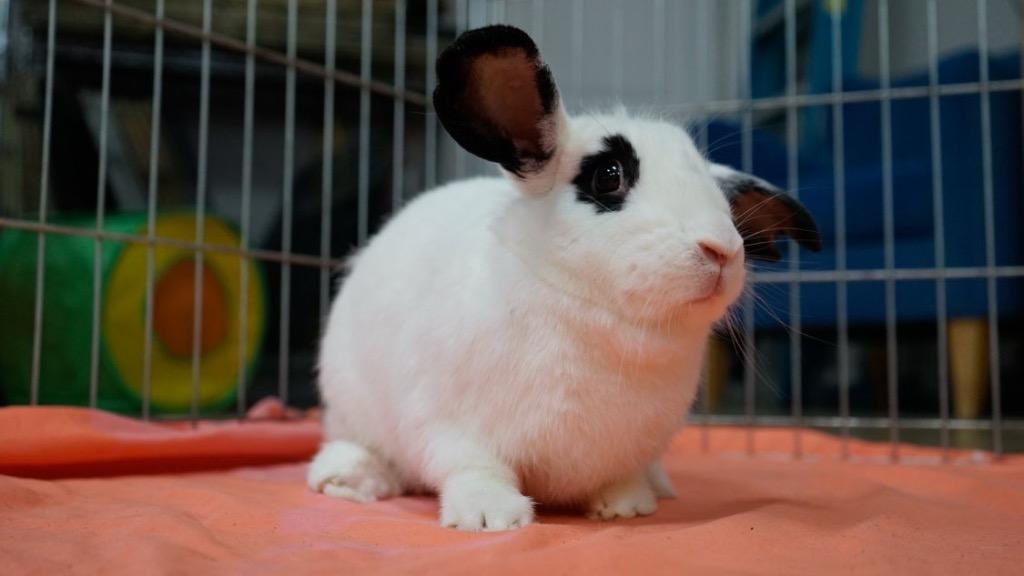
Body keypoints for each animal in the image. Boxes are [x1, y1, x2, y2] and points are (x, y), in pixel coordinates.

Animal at [308, 24, 821, 531]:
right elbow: (475, 469)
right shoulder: (448, 427)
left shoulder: (629, 448)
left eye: (720, 196)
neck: (600, 320)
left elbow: (622, 476)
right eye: (608, 176)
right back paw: (343, 478)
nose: (723, 250)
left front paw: (626, 506)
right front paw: (490, 517)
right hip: (349, 401)